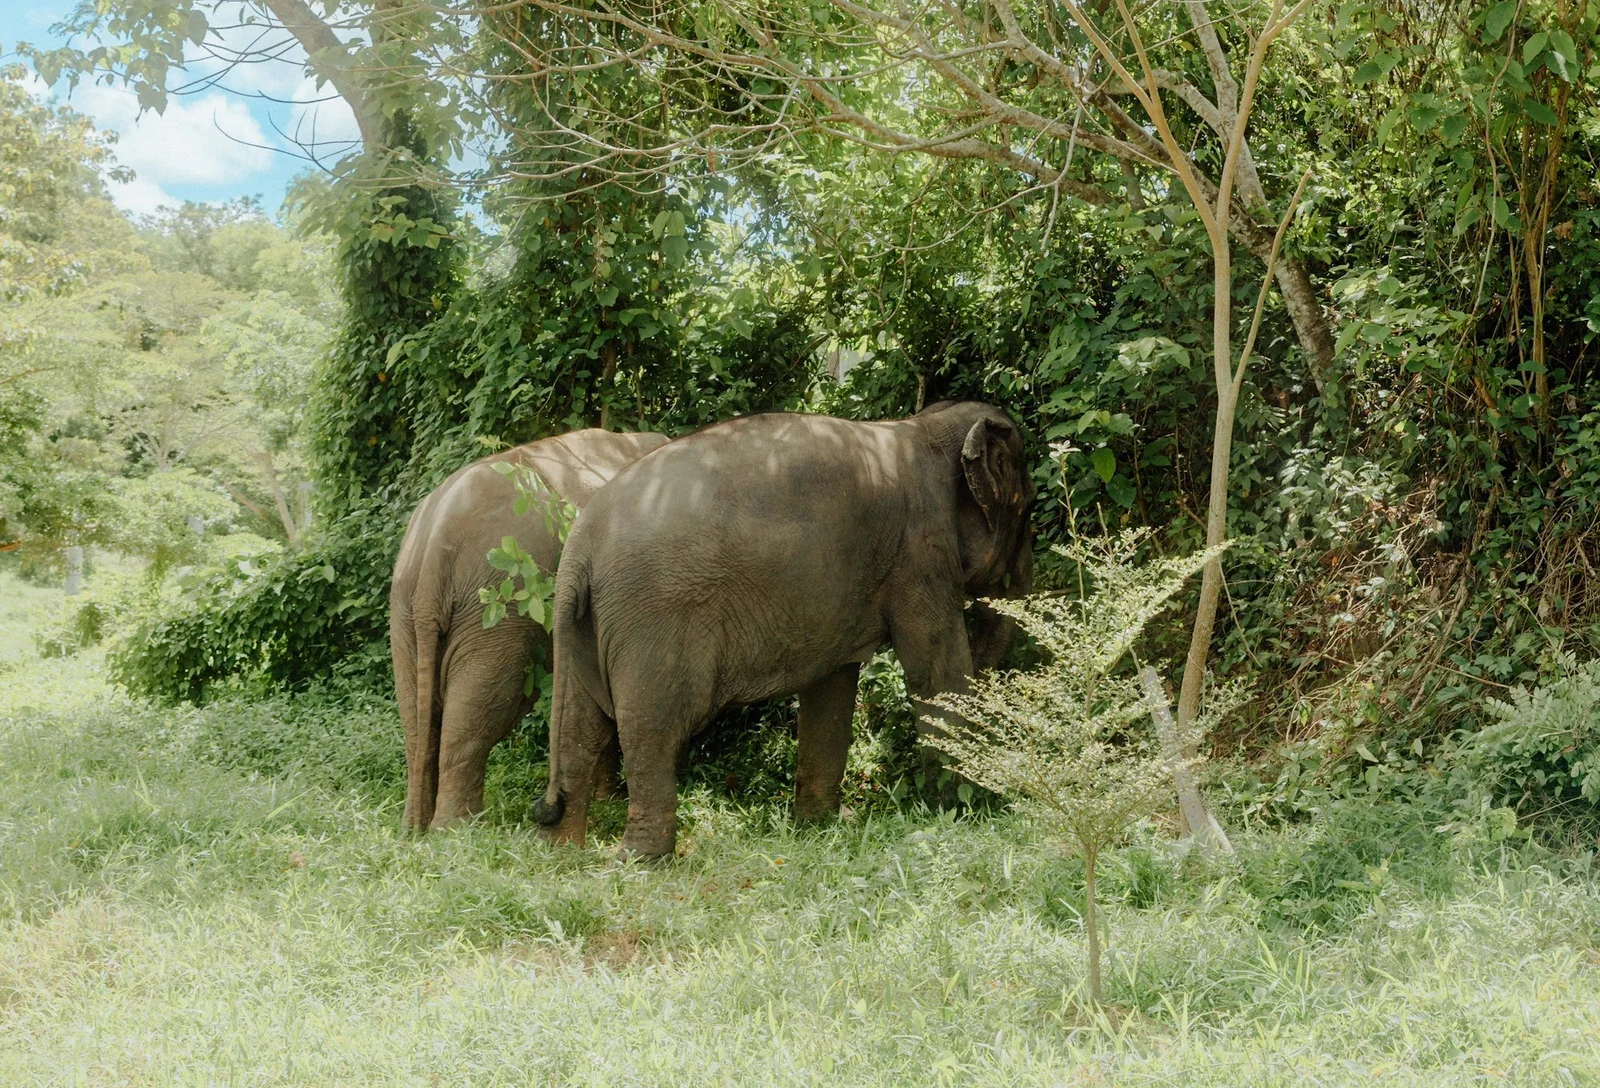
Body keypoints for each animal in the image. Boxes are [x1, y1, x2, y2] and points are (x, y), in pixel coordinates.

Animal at [391, 428, 669, 832]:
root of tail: (434, 551)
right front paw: (609, 799)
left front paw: (606, 799)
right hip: (491, 611)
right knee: (478, 712)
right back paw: (455, 831)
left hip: (405, 615)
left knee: (416, 719)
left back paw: (414, 830)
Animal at [533, 400, 1035, 858]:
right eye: (1029, 513)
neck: (924, 426)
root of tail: (579, 547)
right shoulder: (921, 554)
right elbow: (937, 678)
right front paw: (974, 812)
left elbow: (832, 689)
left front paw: (818, 829)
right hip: (652, 620)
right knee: (652, 729)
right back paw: (641, 861)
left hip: (585, 627)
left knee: (580, 730)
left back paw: (561, 854)